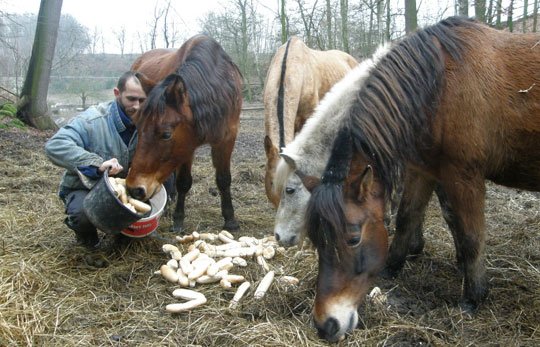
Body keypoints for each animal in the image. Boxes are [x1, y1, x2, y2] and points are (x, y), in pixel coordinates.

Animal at [125, 34, 242, 232]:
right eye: (138, 127)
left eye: (166, 134)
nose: (134, 189)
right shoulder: (187, 146)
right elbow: (184, 182)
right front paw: (178, 219)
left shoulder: (227, 138)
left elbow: (224, 179)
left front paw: (230, 219)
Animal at [304, 17, 540, 342]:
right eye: (315, 240)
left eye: (353, 238)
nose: (325, 324)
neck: (438, 85)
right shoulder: (423, 171)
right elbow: (407, 218)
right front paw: (391, 268)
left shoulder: (463, 176)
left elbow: (471, 236)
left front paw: (474, 296)